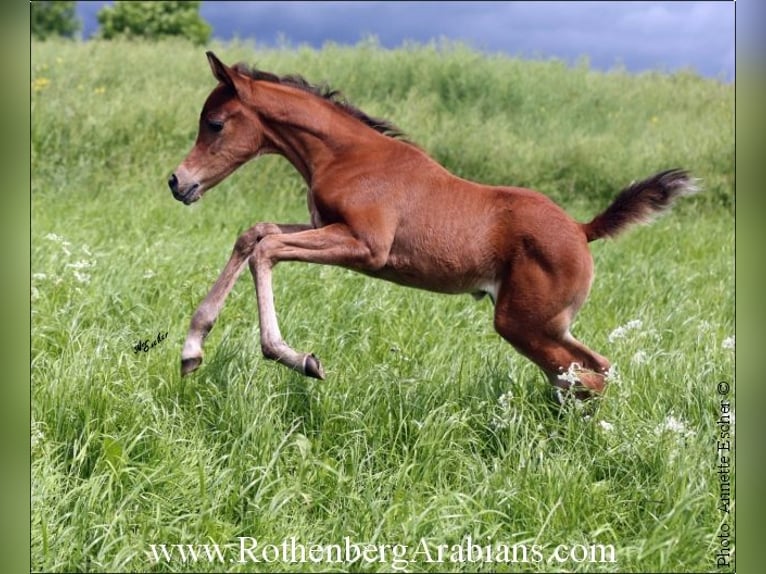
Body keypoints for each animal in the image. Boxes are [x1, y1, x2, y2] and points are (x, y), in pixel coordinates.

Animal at [168, 53, 696, 400]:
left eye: (214, 123)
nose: (178, 182)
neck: (347, 155)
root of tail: (582, 229)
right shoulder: (327, 226)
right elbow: (255, 233)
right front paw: (192, 348)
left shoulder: (366, 247)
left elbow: (268, 248)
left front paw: (296, 359)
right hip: (544, 325)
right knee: (591, 370)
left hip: (524, 323)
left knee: (588, 375)